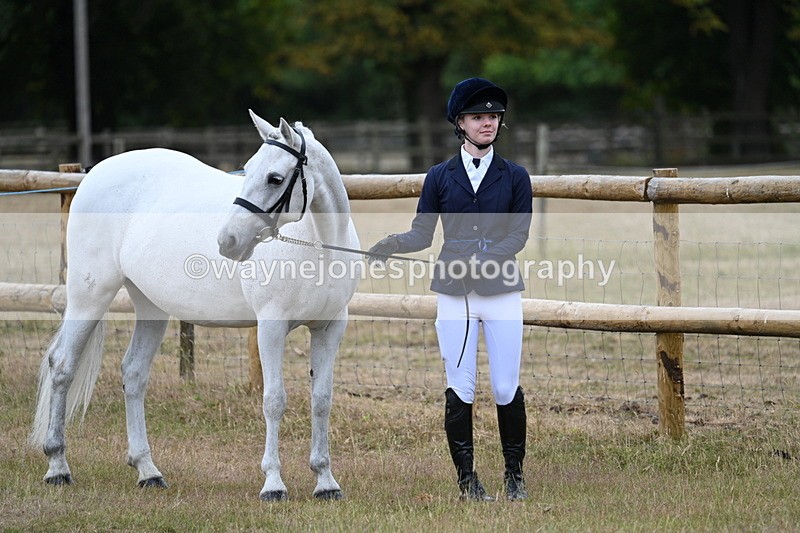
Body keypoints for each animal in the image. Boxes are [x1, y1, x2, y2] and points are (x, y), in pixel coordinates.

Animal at [29, 111, 361, 501]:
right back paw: (57, 467)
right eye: (249, 169)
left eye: (275, 178)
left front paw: (325, 482)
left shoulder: (330, 328)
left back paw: (148, 471)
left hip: (151, 306)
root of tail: (96, 173)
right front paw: (273, 484)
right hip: (89, 295)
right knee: (63, 365)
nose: (228, 241)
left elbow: (321, 400)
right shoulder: (271, 326)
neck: (318, 245)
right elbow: (274, 400)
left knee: (134, 374)